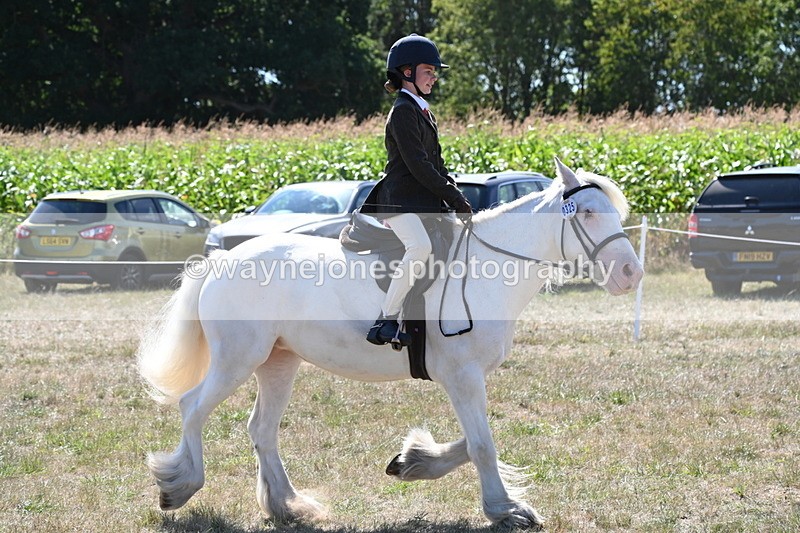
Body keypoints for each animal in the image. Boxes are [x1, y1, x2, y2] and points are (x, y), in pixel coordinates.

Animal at [137, 157, 643, 529]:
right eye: (588, 213)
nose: (630, 274)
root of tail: (222, 261)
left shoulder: (466, 379)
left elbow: (474, 441)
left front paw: (414, 461)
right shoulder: (462, 376)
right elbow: (483, 445)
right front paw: (506, 510)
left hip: (279, 362)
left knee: (261, 430)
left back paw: (289, 506)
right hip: (237, 359)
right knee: (192, 407)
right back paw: (178, 486)